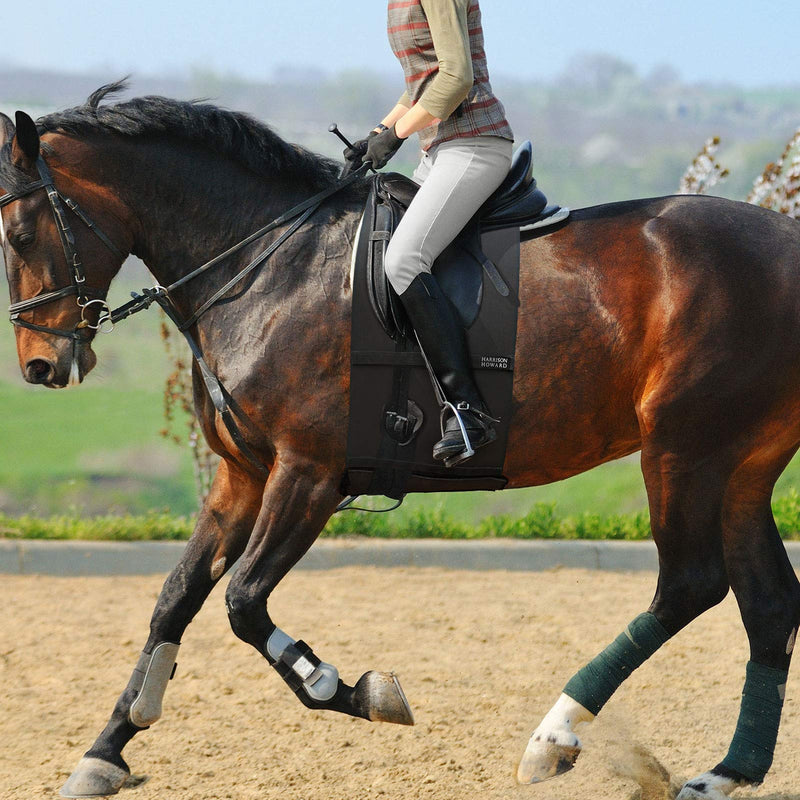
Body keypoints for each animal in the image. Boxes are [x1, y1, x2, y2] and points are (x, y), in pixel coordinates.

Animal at [2, 83, 799, 800]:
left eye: (19, 235)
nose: (40, 366)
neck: (264, 264)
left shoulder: (308, 473)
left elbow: (243, 601)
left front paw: (351, 689)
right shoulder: (241, 476)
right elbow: (175, 599)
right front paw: (104, 753)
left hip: (684, 448)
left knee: (690, 584)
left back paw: (553, 737)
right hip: (741, 464)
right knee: (767, 604)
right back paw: (726, 774)